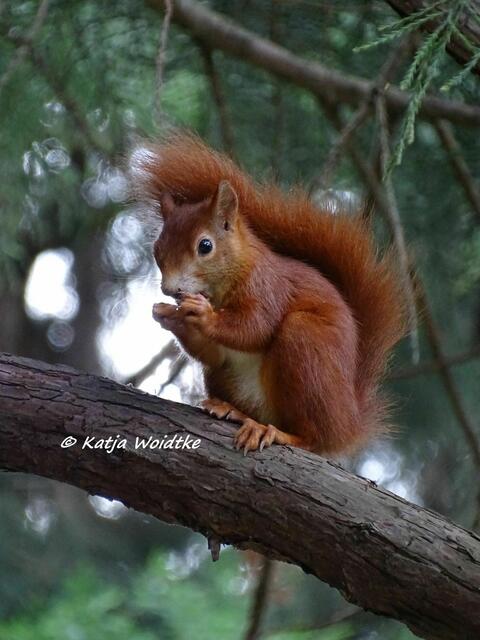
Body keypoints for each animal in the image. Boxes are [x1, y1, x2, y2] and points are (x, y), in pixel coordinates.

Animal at [131, 132, 407, 455]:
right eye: (157, 249)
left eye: (205, 246)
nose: (170, 289)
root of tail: (348, 423)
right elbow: (212, 353)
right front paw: (171, 317)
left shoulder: (268, 288)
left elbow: (255, 327)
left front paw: (203, 315)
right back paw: (231, 410)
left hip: (307, 345)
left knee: (311, 437)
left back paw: (273, 432)